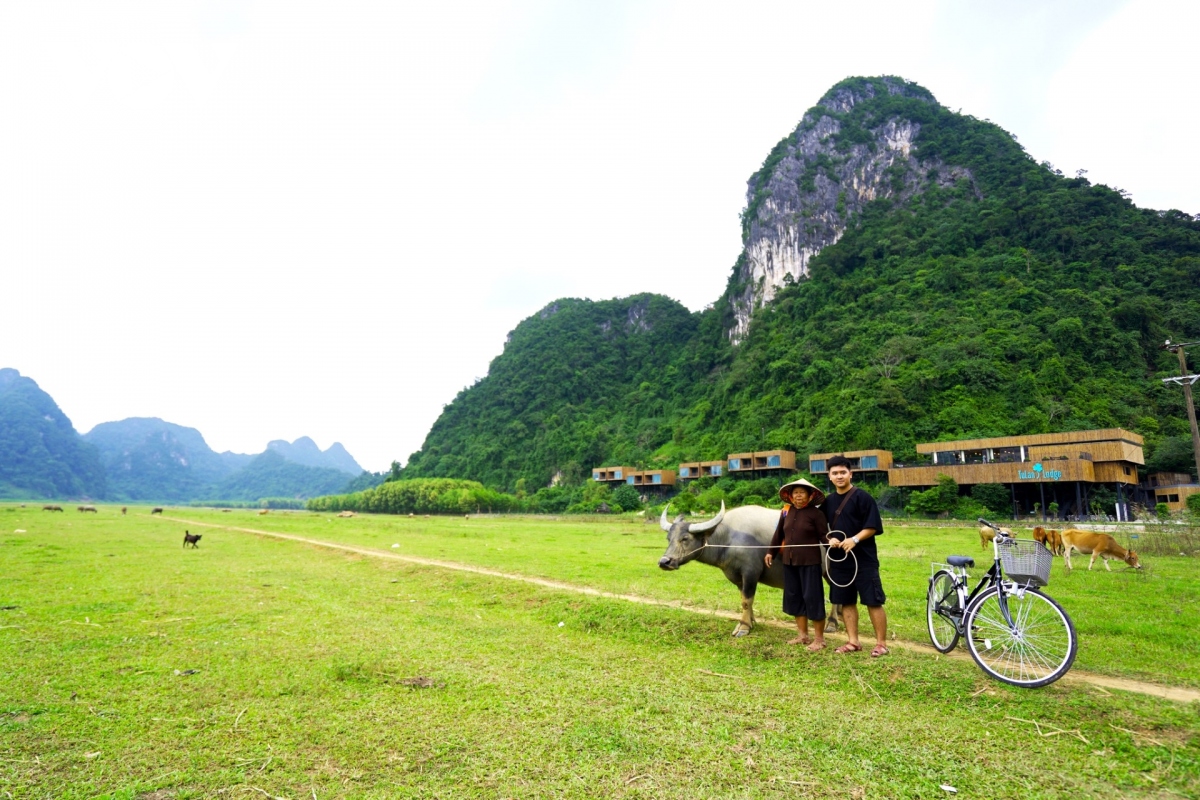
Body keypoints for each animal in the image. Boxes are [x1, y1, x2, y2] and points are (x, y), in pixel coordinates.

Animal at [657, 506, 844, 638]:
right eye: (669, 538)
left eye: (685, 538)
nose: (664, 562)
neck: (728, 540)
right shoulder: (738, 578)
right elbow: (744, 600)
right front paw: (751, 621)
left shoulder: (750, 573)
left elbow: (747, 600)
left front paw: (744, 627)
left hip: (830, 570)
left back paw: (832, 623)